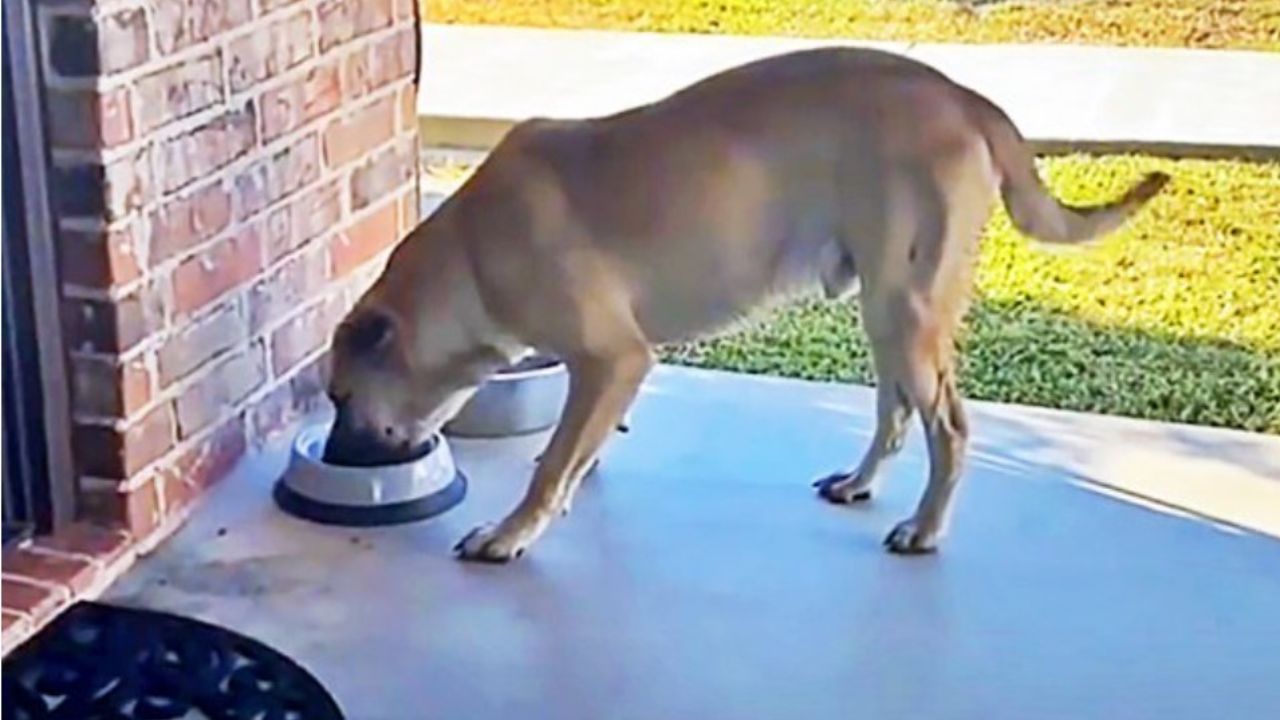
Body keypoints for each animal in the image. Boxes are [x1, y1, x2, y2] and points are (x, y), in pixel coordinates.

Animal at [322, 47, 1172, 561]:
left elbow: (556, 459)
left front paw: (512, 531)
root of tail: (964, 96)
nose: (333, 454)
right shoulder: (605, 372)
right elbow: (575, 450)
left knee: (951, 431)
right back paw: (860, 483)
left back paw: (926, 528)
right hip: (885, 312)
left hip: (906, 307)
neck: (468, 254)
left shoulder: (613, 358)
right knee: (897, 413)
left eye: (338, 397)